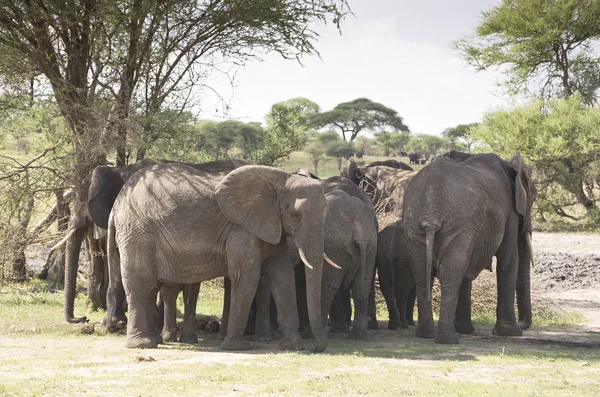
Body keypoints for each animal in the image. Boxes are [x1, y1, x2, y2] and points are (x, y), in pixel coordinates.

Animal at [107, 163, 332, 350]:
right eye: (296, 215)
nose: (315, 347)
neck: (280, 179)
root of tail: (116, 205)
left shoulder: (271, 226)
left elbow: (283, 276)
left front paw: (294, 347)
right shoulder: (242, 229)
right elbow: (247, 276)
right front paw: (236, 347)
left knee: (150, 287)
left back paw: (154, 341)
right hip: (138, 233)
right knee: (141, 283)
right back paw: (142, 345)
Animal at [404, 152, 536, 344]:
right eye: (533, 199)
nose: (523, 324)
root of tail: (430, 213)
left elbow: (468, 265)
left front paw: (465, 329)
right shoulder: (510, 211)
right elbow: (509, 257)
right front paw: (511, 332)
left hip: (414, 224)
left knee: (422, 272)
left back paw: (426, 333)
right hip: (458, 222)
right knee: (450, 271)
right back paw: (448, 339)